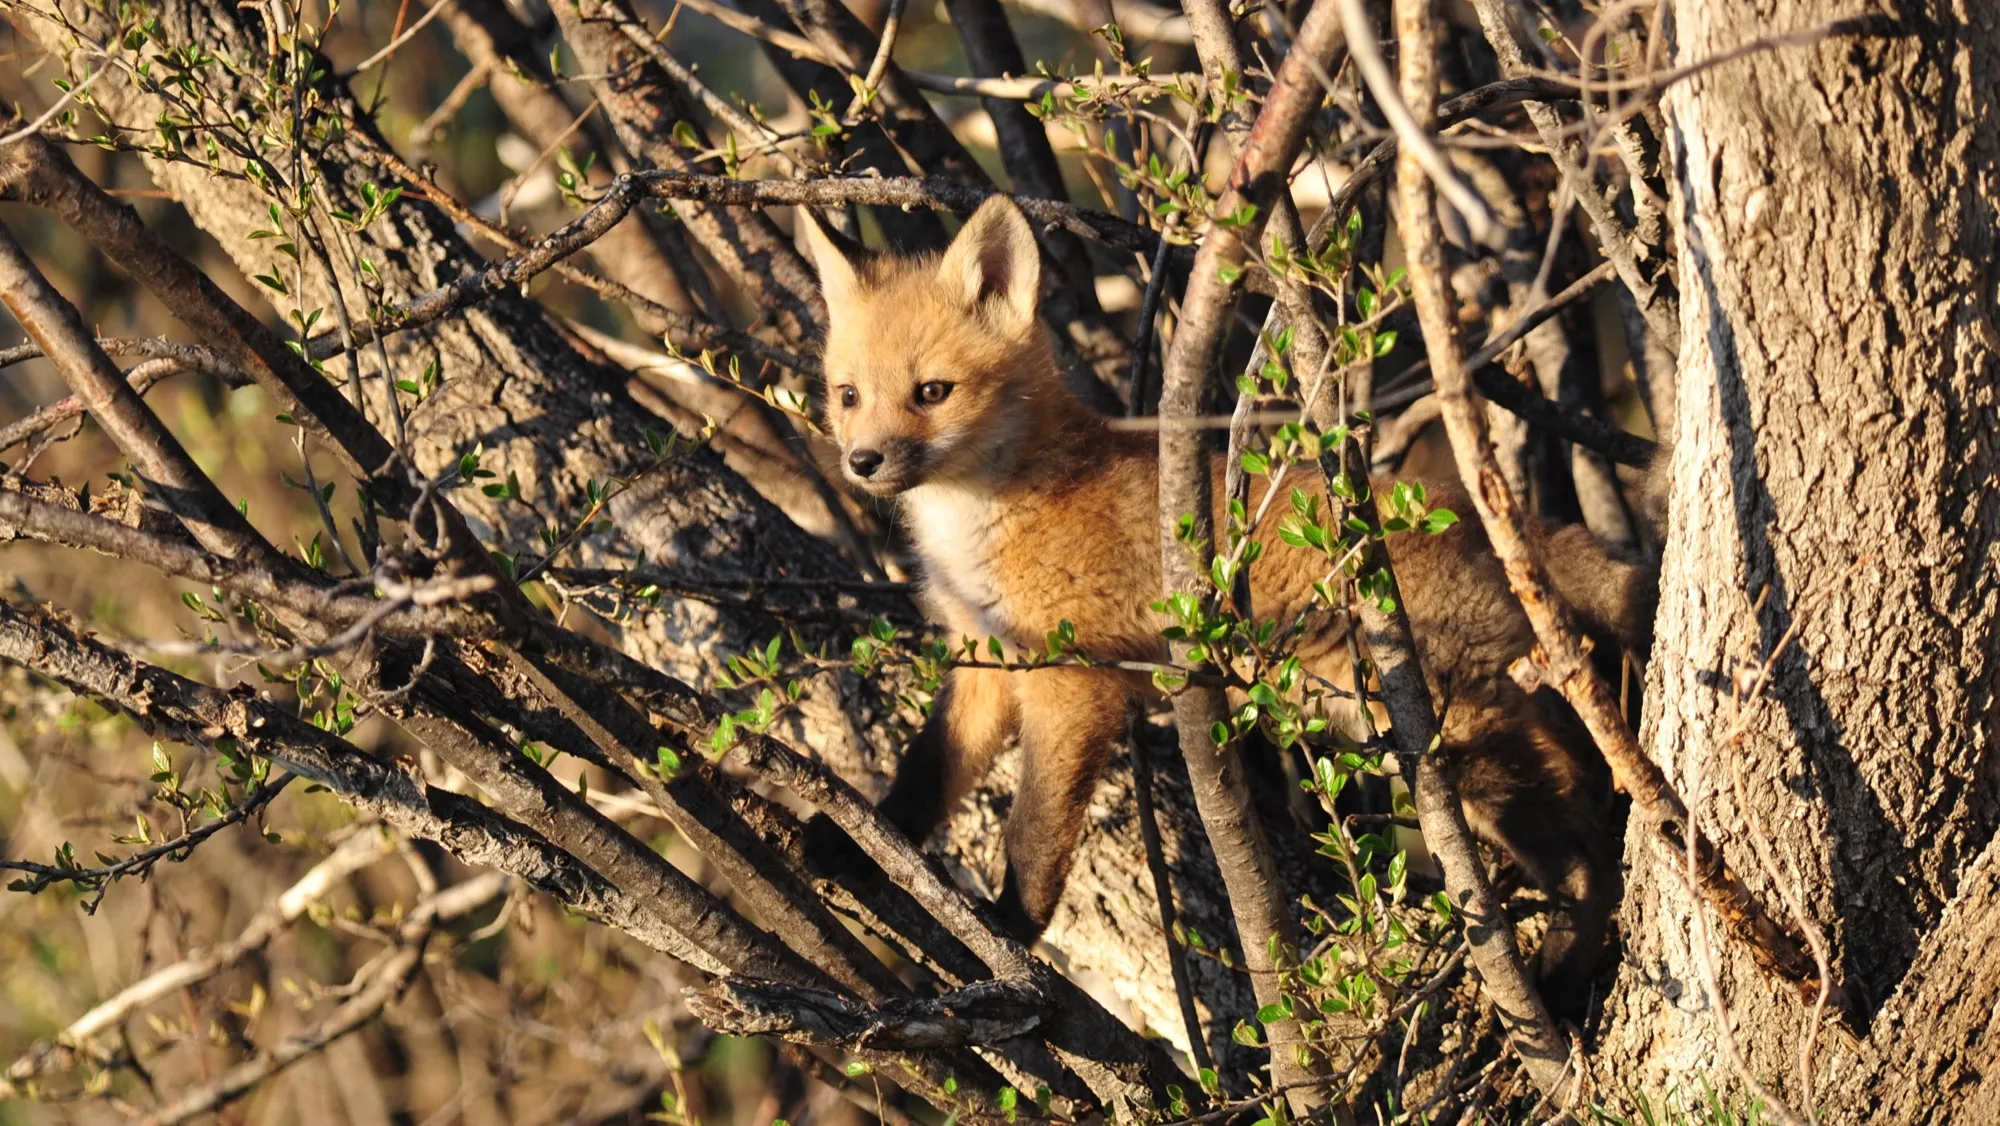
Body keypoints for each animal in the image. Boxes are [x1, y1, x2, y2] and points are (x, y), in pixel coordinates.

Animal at [799, 196, 1657, 1012]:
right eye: (848, 395)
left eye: (931, 393)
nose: (861, 461)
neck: (988, 519)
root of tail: (1461, 508)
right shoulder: (983, 661)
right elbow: (926, 770)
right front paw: (855, 842)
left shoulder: (1070, 683)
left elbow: (1032, 832)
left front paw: (1010, 931)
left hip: (1447, 731)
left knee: (1585, 848)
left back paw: (1559, 980)